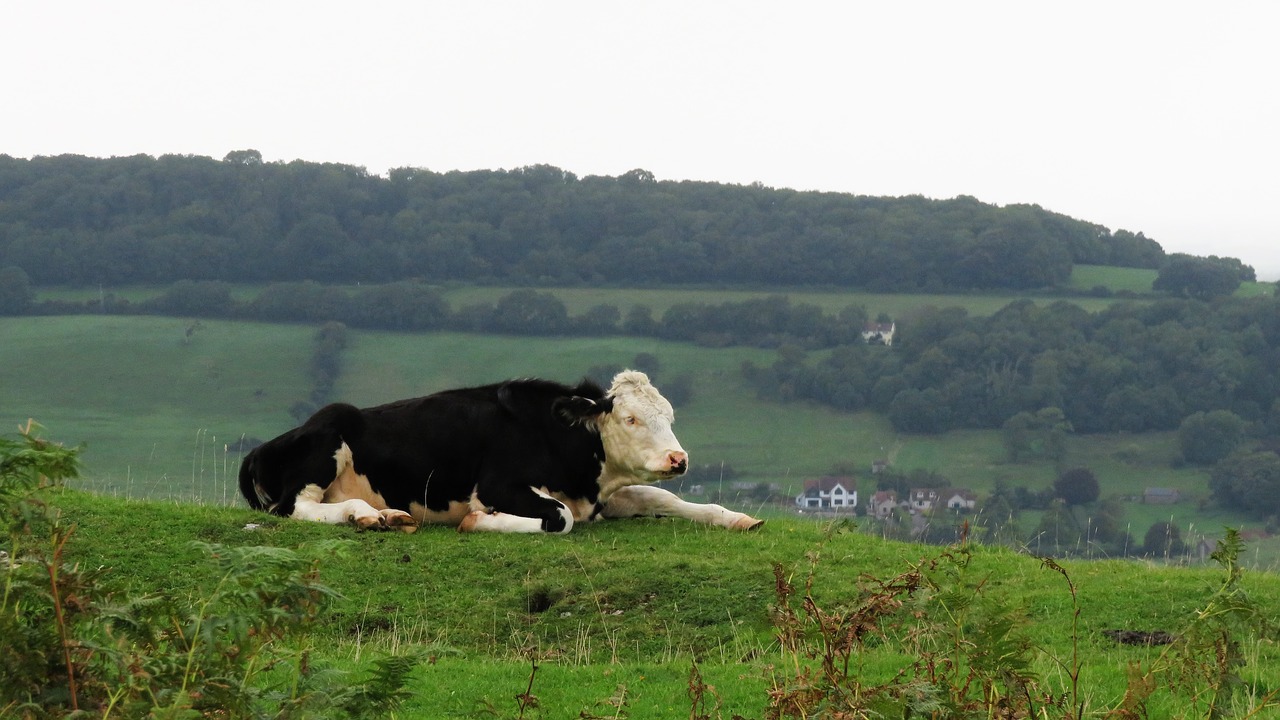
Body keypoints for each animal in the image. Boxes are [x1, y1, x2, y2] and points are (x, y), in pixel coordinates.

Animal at [236, 368, 762, 532]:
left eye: (668, 416)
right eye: (630, 418)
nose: (679, 460)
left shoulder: (599, 496)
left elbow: (664, 499)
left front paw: (736, 518)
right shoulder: (497, 486)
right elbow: (558, 518)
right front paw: (478, 521)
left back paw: (385, 514)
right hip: (327, 446)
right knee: (298, 508)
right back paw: (364, 514)